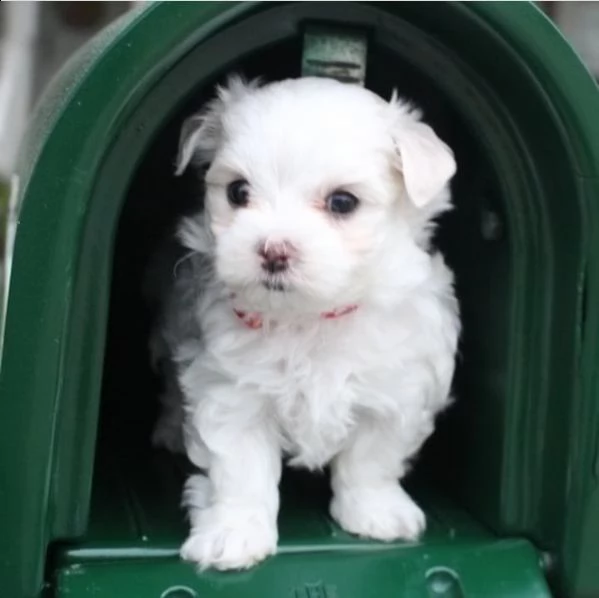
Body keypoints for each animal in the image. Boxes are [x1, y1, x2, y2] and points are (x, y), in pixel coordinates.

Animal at [150, 77, 460, 576]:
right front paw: (233, 535)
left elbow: (372, 459)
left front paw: (375, 512)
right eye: (238, 192)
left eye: (342, 202)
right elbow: (241, 471)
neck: (311, 317)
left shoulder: (398, 387)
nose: (274, 250)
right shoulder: (232, 393)